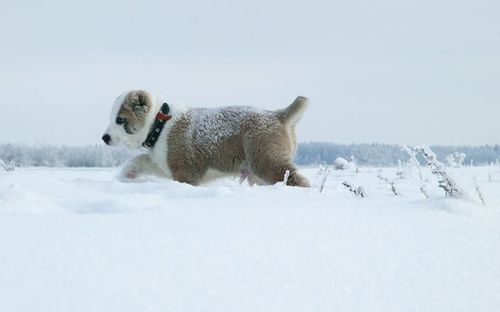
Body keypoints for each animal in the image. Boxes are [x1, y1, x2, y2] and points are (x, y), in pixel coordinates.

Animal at [102, 90, 308, 188]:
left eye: (120, 120)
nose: (105, 137)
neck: (159, 123)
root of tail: (278, 115)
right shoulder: (165, 164)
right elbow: (142, 159)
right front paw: (128, 173)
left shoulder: (185, 172)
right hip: (257, 171)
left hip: (266, 161)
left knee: (297, 179)